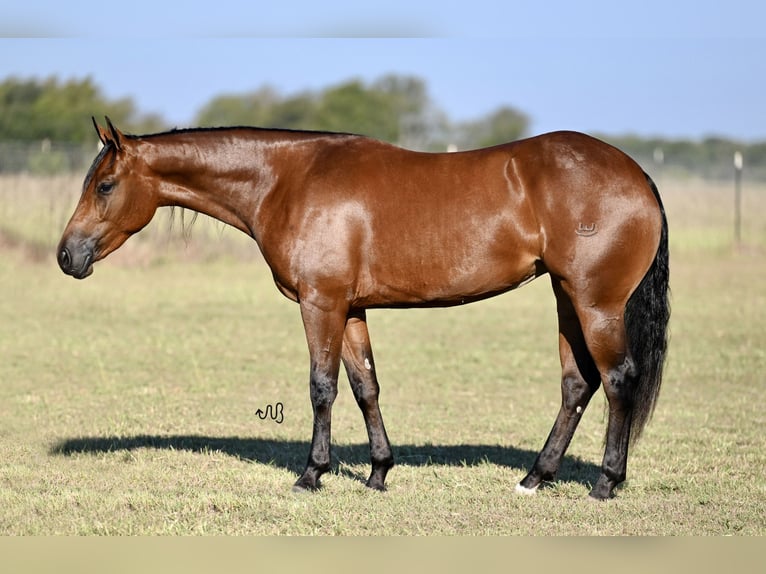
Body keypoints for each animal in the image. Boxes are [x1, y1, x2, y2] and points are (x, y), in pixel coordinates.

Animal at [57, 119, 668, 502]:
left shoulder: (320, 303)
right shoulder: (350, 310)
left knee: (617, 379)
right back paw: (534, 479)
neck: (287, 179)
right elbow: (365, 386)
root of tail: (635, 174)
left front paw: (312, 475)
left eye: (105, 185)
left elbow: (321, 387)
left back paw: (605, 483)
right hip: (566, 297)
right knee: (577, 383)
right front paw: (377, 473)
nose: (67, 255)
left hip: (595, 302)